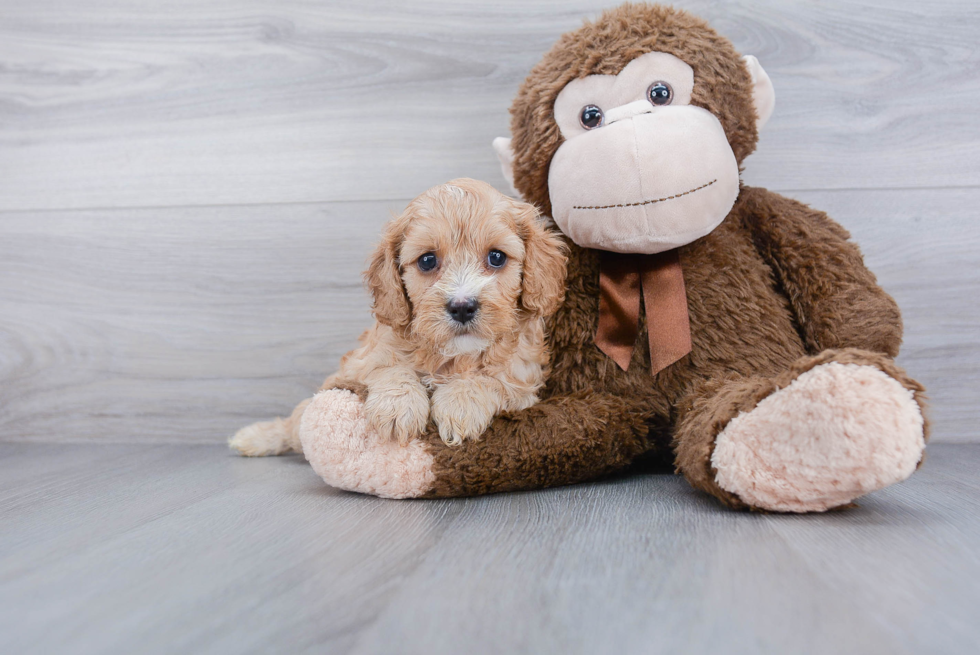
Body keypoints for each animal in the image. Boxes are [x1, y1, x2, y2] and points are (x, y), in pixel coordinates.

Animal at [230, 179, 568, 456]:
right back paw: (254, 438)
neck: (451, 357)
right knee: (295, 422)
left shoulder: (524, 382)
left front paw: (460, 403)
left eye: (496, 257)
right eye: (427, 260)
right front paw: (398, 407)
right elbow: (388, 367)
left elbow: (492, 380)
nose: (462, 306)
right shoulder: (355, 366)